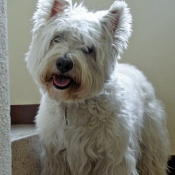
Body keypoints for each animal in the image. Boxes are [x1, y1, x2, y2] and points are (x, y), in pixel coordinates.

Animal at [25, 0, 170, 175]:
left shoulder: (114, 156)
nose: (64, 63)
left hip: (151, 135)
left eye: (89, 49)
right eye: (57, 37)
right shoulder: (56, 155)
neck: (74, 104)